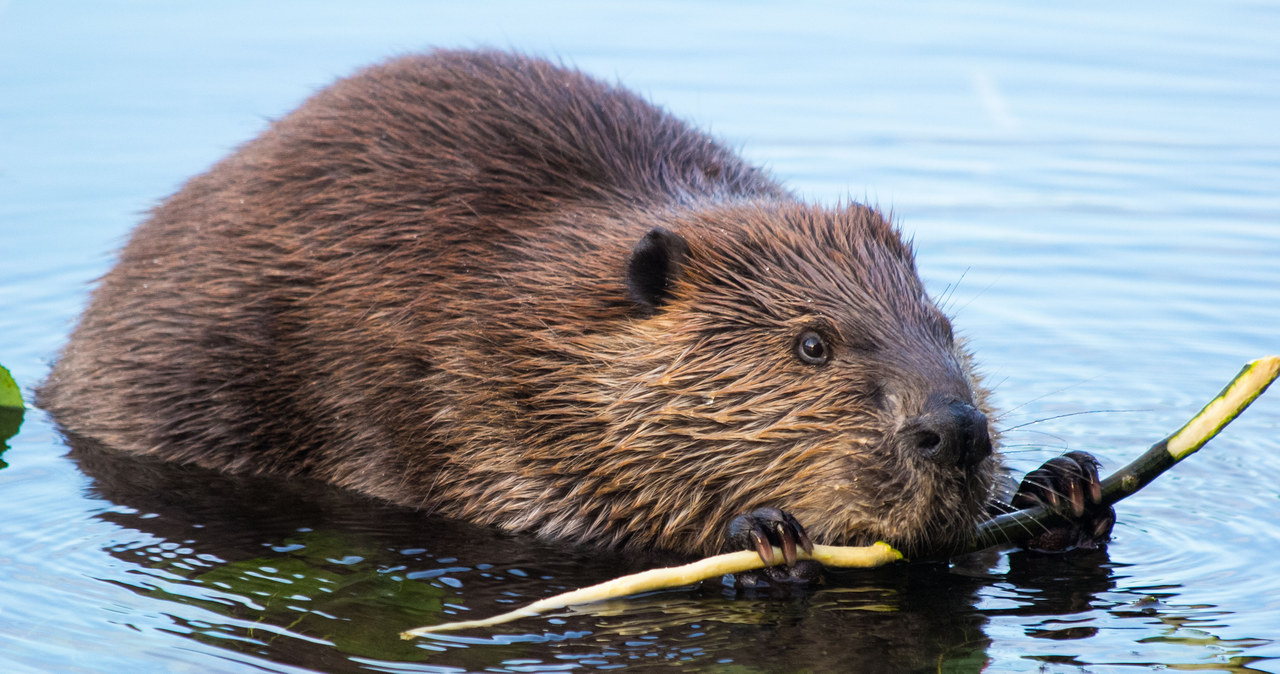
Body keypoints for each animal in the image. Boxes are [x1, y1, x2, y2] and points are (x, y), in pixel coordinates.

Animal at [37, 48, 1111, 565]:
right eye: (811, 344)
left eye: (945, 328)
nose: (954, 429)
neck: (544, 305)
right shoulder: (463, 384)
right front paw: (761, 533)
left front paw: (1062, 487)